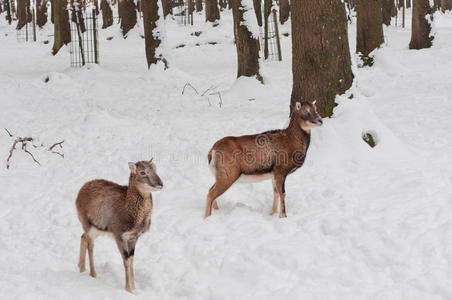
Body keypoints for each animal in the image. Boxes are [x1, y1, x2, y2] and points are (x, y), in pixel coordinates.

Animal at [75, 159, 163, 292]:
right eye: (142, 172)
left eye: (155, 169)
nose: (160, 184)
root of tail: (81, 189)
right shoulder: (119, 236)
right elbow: (125, 260)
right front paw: (128, 289)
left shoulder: (133, 237)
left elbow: (131, 259)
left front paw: (134, 287)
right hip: (88, 225)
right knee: (90, 246)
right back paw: (93, 274)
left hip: (96, 229)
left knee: (82, 237)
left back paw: (81, 268)